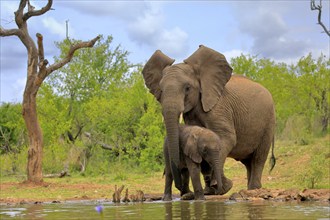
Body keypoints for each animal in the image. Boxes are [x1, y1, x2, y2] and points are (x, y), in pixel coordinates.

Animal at [142, 45, 276, 194]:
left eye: (187, 88)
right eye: (161, 90)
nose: (181, 189)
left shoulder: (219, 107)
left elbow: (227, 139)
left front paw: (223, 187)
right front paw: (210, 191)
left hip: (268, 121)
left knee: (258, 158)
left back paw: (253, 189)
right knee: (248, 162)